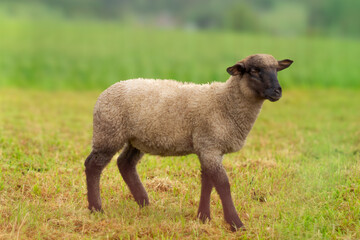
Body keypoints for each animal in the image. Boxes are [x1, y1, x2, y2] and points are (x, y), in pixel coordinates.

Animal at [84, 54, 292, 231]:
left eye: (277, 69)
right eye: (255, 70)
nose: (277, 91)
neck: (225, 102)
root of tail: (106, 91)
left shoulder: (208, 148)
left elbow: (207, 182)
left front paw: (203, 217)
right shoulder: (209, 146)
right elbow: (222, 184)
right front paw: (236, 223)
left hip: (135, 139)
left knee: (125, 163)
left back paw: (144, 203)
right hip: (109, 133)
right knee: (93, 165)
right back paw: (96, 209)